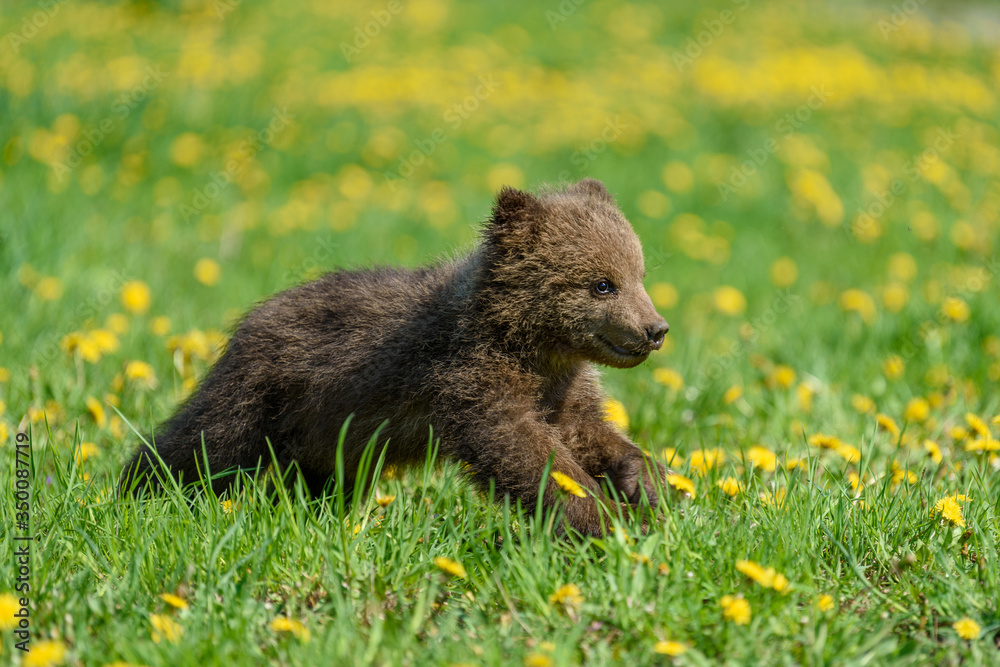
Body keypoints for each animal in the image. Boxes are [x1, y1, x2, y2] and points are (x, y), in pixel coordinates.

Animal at [120, 178, 671, 536]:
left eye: (640, 273)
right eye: (603, 283)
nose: (655, 329)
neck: (532, 345)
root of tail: (252, 317)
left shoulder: (564, 386)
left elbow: (591, 431)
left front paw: (648, 485)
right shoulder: (471, 380)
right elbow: (526, 452)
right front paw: (603, 518)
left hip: (323, 435)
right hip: (260, 394)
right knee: (201, 443)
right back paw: (136, 493)